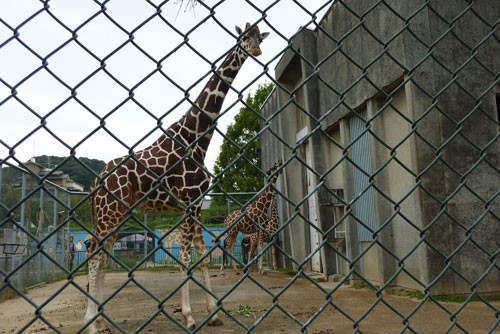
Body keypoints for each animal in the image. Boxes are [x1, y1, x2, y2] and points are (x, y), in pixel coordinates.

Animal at [85, 22, 270, 332]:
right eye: (244, 37)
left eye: (260, 37)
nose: (255, 50)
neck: (196, 139)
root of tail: (96, 181)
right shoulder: (188, 202)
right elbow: (184, 257)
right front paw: (189, 316)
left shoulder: (196, 205)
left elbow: (201, 256)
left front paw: (214, 313)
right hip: (109, 213)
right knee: (94, 256)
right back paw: (90, 323)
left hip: (116, 213)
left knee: (103, 256)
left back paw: (100, 319)